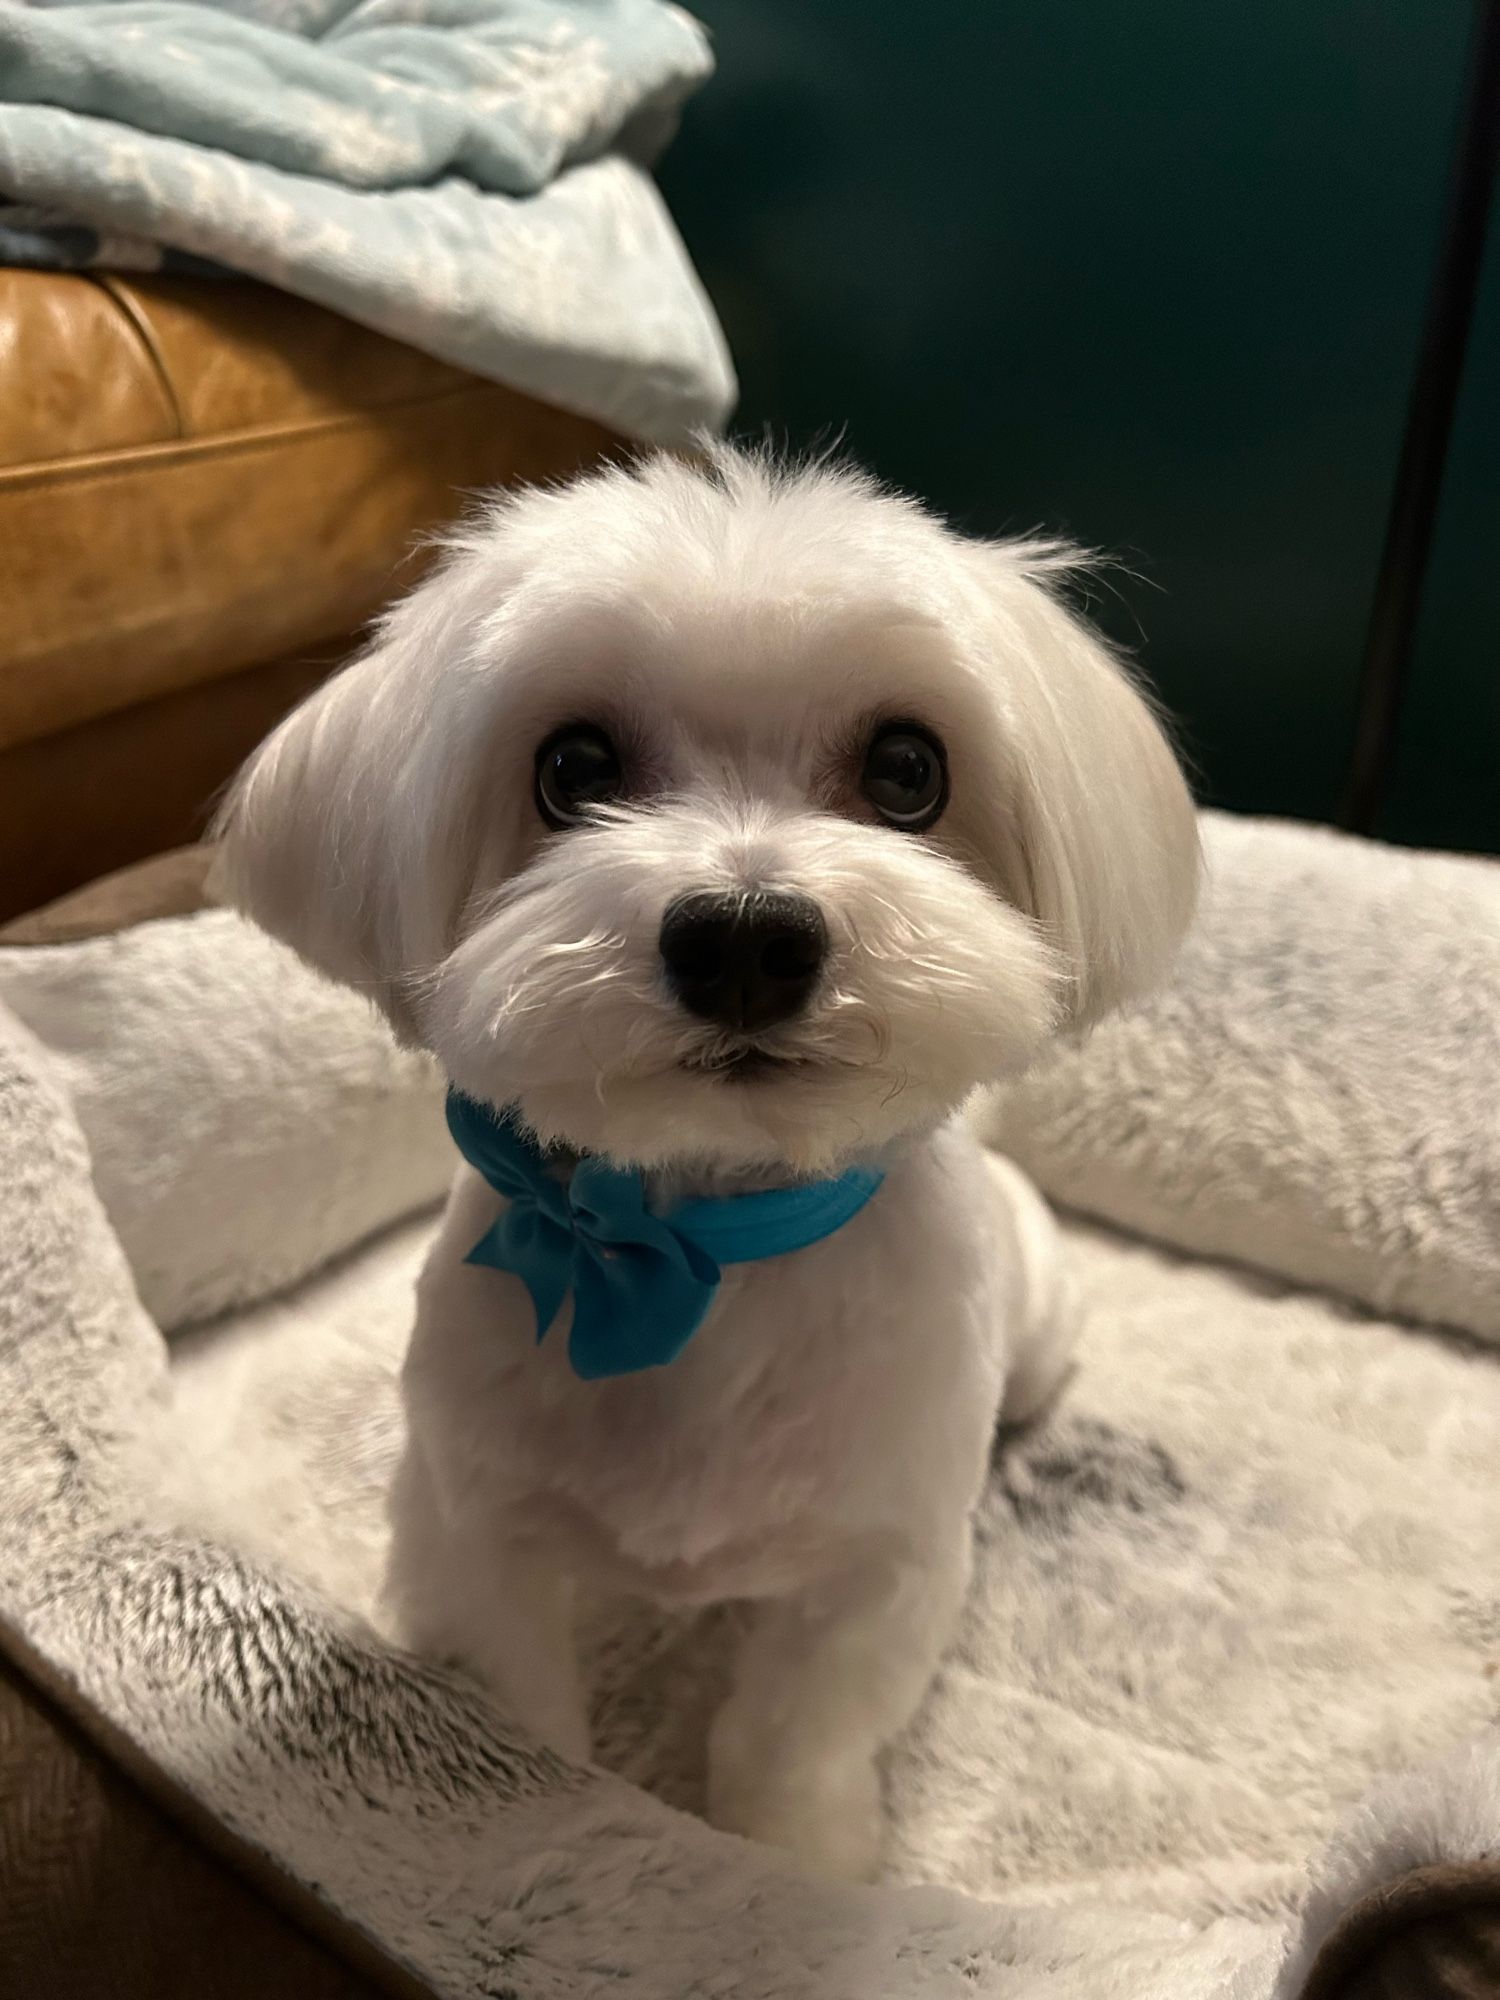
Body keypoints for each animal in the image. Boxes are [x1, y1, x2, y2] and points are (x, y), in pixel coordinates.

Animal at [214, 446, 1200, 1880]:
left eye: (909, 769)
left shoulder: (878, 1569)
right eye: (572, 764)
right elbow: (516, 1707)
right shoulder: (472, 1527)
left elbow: (796, 1732)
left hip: (1041, 1335)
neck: (702, 1241)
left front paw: (798, 1861)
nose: (745, 937)